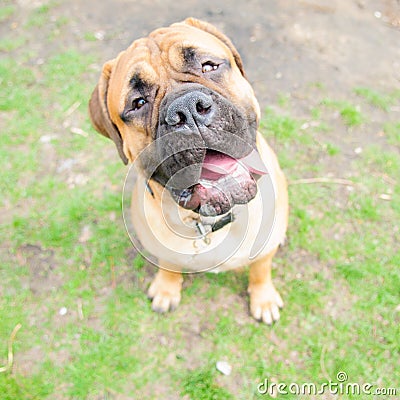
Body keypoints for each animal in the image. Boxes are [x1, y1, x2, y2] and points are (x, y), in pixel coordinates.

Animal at [89, 18, 290, 324]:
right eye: (138, 103)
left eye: (208, 66)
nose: (188, 110)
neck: (207, 221)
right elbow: (169, 265)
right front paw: (166, 289)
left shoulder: (264, 250)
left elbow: (260, 268)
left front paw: (263, 298)